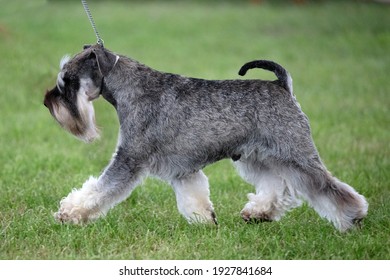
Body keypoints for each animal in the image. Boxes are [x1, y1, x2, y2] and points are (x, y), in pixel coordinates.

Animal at [44, 44, 368, 232]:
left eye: (67, 81)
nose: (48, 102)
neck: (131, 88)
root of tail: (282, 85)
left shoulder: (129, 158)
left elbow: (99, 190)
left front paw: (69, 213)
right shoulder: (182, 168)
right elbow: (194, 196)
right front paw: (205, 220)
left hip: (295, 154)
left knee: (328, 187)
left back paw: (352, 217)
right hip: (258, 157)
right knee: (278, 187)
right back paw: (259, 213)